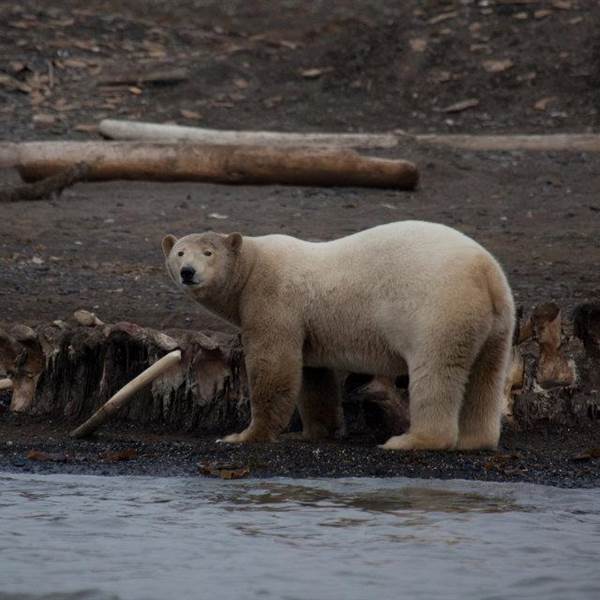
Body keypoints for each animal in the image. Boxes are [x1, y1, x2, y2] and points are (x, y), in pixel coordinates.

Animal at [162, 221, 512, 450]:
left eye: (208, 253)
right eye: (179, 252)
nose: (188, 272)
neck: (253, 263)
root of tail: (485, 272)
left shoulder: (273, 299)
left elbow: (273, 365)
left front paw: (244, 435)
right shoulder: (307, 325)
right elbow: (313, 376)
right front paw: (313, 432)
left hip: (438, 309)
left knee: (435, 371)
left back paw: (409, 440)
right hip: (497, 321)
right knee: (486, 373)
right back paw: (475, 440)